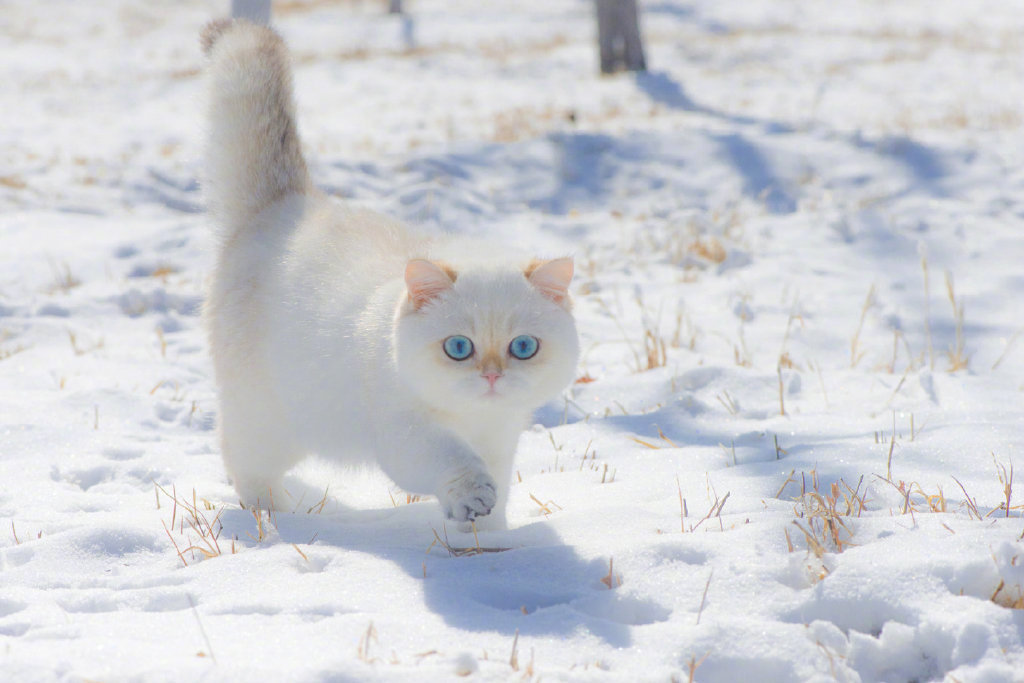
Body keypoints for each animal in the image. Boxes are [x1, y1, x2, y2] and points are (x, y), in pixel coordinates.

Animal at [199, 20, 581, 528]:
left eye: (523, 348)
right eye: (459, 348)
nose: (491, 376)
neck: (472, 419)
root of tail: (287, 203)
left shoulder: (501, 439)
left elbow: (495, 490)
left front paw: (489, 536)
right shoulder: (407, 434)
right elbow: (456, 463)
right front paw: (472, 498)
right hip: (268, 422)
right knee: (240, 462)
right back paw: (280, 514)